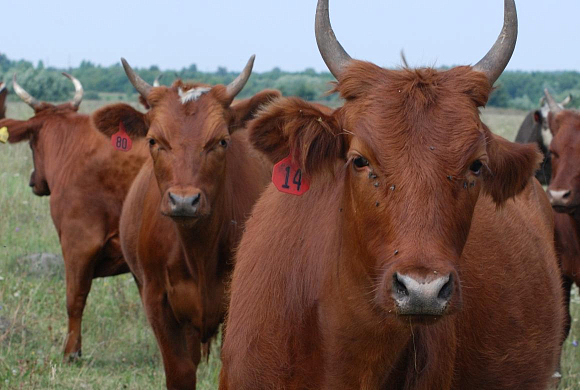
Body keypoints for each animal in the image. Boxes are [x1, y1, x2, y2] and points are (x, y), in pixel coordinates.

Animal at [91, 55, 278, 390]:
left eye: (222, 141)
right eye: (153, 140)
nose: (183, 200)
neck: (198, 250)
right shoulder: (157, 301)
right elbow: (180, 371)